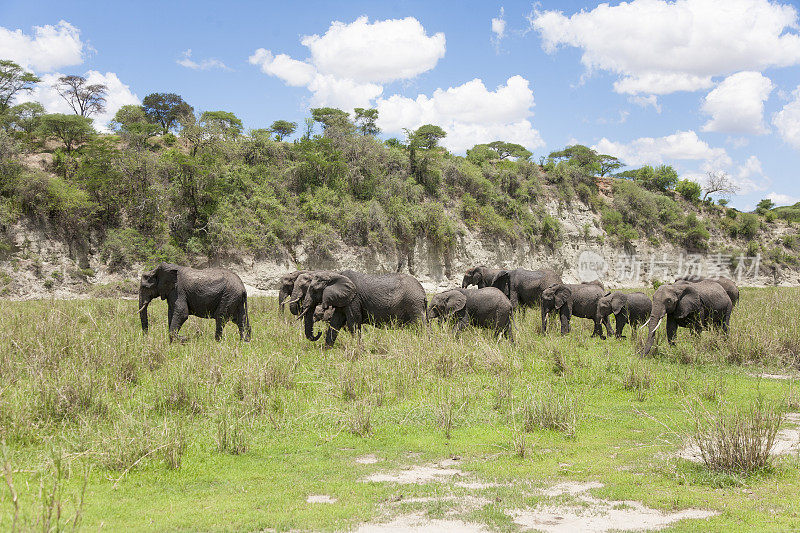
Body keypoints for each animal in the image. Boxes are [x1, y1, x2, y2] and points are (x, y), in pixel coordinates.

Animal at [298, 268, 428, 348]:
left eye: (314, 290)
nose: (318, 332)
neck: (336, 274)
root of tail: (423, 292)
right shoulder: (344, 299)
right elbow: (335, 323)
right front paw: (327, 350)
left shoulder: (354, 299)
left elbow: (353, 323)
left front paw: (358, 350)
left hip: (413, 303)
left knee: (419, 325)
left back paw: (424, 345)